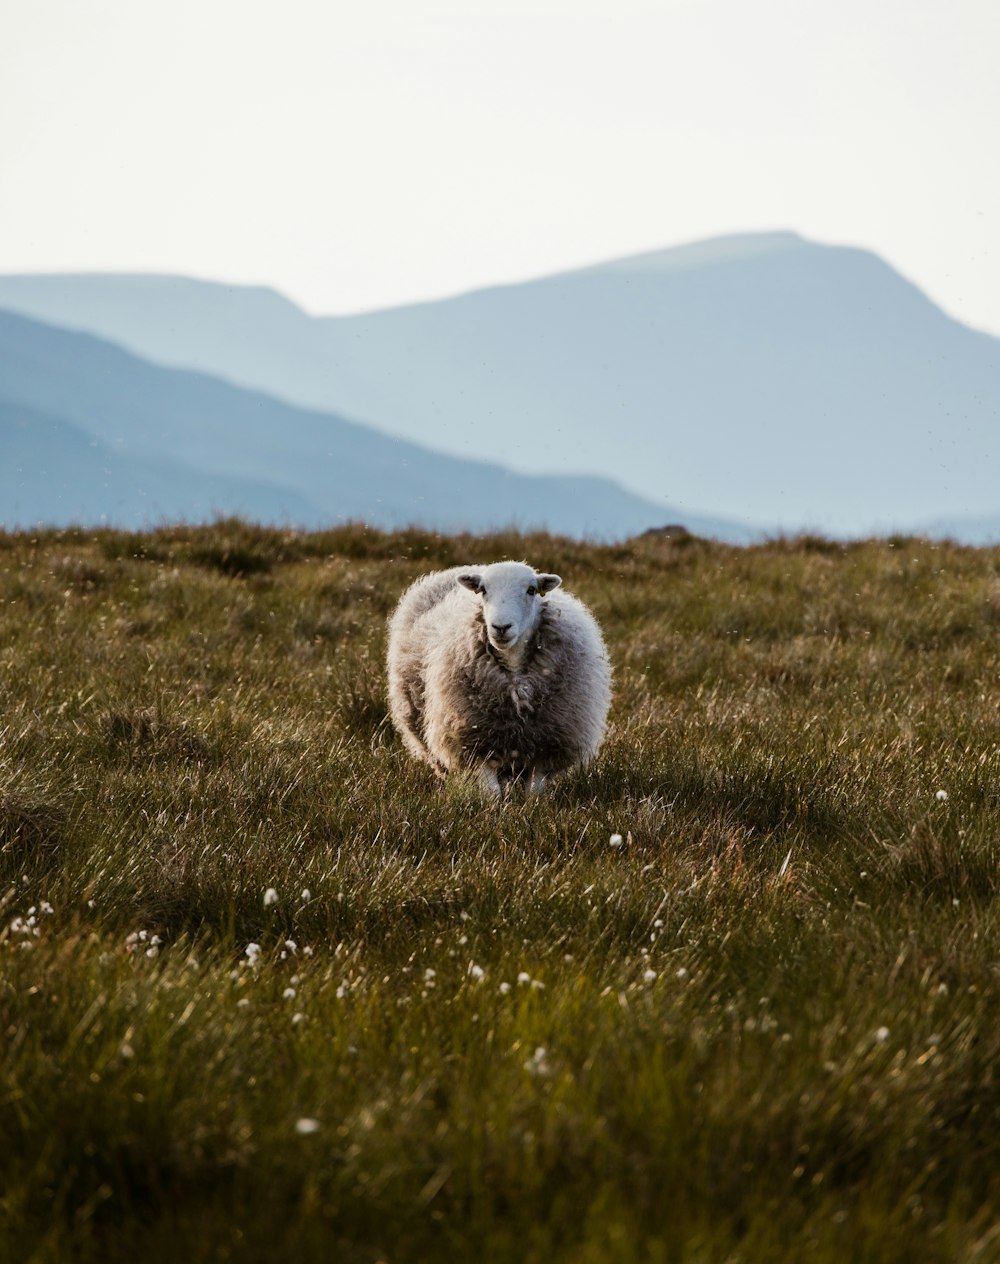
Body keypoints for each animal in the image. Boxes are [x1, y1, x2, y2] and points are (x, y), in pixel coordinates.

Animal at [386, 561, 614, 793]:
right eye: (483, 590)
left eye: (531, 590)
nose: (501, 627)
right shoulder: (476, 742)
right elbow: (492, 793)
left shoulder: (545, 744)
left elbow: (534, 793)